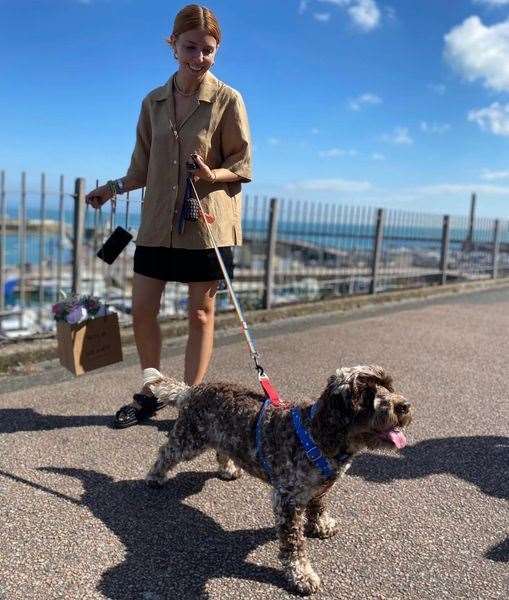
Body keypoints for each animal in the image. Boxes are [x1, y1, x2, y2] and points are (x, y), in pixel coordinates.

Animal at [143, 366, 408, 596]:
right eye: (366, 394)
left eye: (388, 385)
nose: (404, 406)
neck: (317, 435)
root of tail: (192, 389)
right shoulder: (287, 500)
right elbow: (293, 545)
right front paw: (301, 575)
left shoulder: (318, 488)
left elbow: (318, 507)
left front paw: (320, 525)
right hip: (189, 441)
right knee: (167, 452)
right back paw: (155, 476)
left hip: (222, 438)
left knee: (221, 451)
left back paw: (228, 469)